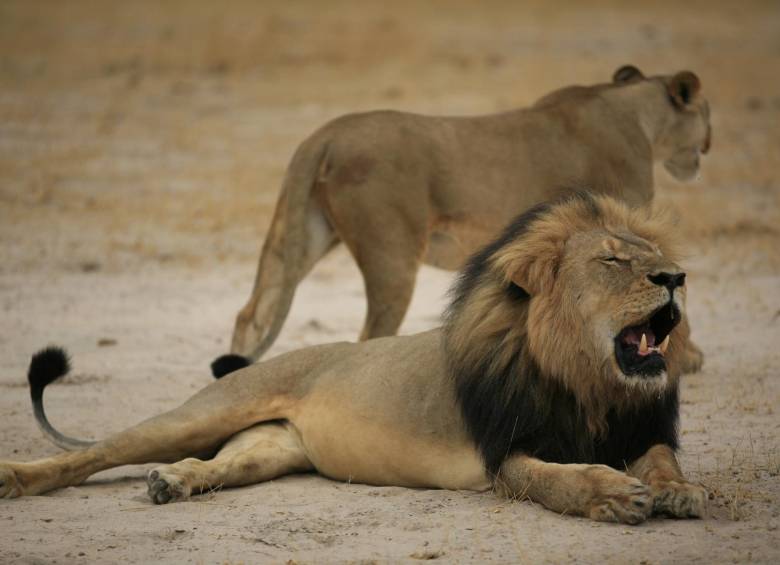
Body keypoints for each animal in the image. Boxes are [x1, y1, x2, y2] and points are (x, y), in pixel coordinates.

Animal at [0, 193, 706, 524]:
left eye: (652, 255)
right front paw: (612, 494)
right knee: (94, 453)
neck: (588, 383)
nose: (676, 277)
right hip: (204, 412)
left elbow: (663, 460)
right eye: (613, 260)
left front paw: (679, 492)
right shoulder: (505, 455)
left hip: (270, 449)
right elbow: (559, 479)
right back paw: (16, 478)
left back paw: (171, 483)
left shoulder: (638, 428)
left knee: (215, 465)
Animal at [229, 64, 711, 366]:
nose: (707, 145)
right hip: (392, 255)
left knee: (252, 312)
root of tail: (324, 134)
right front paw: (685, 358)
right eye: (706, 112)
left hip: (304, 234)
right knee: (370, 335)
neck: (638, 115)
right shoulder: (620, 223)